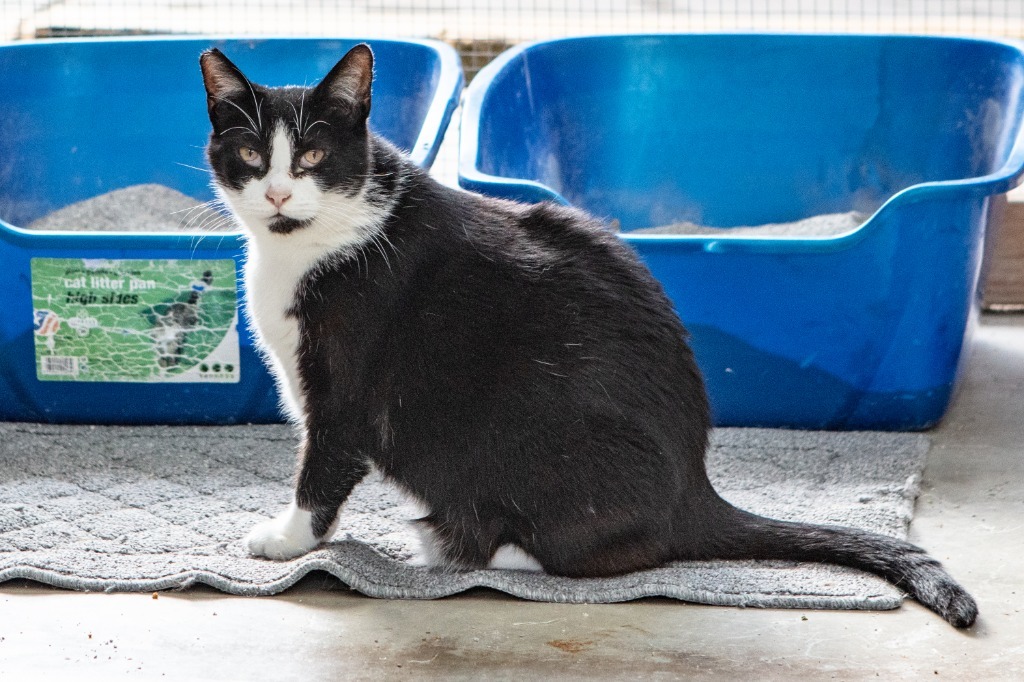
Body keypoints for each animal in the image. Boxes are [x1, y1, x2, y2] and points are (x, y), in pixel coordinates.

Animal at [199, 43, 974, 626]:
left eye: (312, 158)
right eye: (251, 156)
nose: (277, 193)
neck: (307, 247)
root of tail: (696, 491)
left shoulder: (345, 392)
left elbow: (322, 467)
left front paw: (287, 540)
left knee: (622, 552)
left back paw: (481, 547)